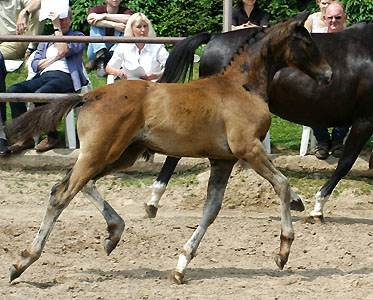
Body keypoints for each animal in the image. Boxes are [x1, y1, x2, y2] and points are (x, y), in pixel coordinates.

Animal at [7, 12, 330, 284]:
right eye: (307, 41)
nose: (327, 74)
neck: (241, 85)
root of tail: (88, 97)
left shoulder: (222, 160)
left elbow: (211, 209)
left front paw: (181, 264)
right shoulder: (248, 149)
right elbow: (282, 185)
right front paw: (284, 250)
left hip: (121, 154)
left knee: (77, 185)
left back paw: (114, 232)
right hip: (103, 152)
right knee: (61, 193)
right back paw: (23, 261)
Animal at [146, 20, 373, 223]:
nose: (328, 75)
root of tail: (215, 37)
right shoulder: (364, 121)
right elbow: (346, 162)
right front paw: (318, 208)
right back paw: (153, 200)